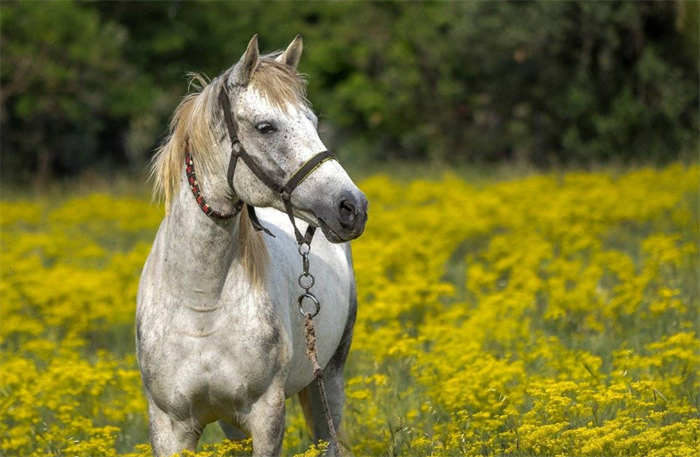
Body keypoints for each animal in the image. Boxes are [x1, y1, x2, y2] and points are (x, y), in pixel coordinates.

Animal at [134, 35, 370, 456]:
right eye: (266, 127)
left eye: (313, 122)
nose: (352, 207)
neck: (201, 303)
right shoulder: (169, 425)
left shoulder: (266, 416)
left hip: (329, 381)